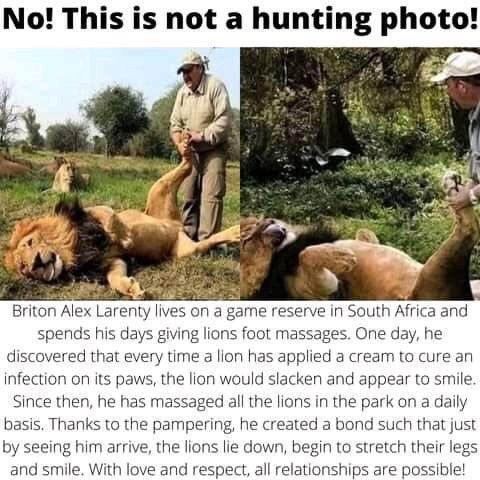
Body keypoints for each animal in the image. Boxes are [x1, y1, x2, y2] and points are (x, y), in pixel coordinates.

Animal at [4, 152, 240, 298]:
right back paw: (236, 232)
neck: (73, 251)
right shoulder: (112, 261)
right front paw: (132, 289)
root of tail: (177, 224)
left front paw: (123, 236)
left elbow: (110, 218)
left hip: (158, 187)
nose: (34, 263)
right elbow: (115, 279)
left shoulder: (91, 213)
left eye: (29, 243)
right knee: (207, 241)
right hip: (186, 251)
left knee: (186, 163)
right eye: (24, 268)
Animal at [242, 172, 480, 300]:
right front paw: (342, 257)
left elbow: (364, 234)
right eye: (249, 238)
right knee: (469, 228)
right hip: (433, 273)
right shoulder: (320, 289)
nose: (273, 224)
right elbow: (306, 254)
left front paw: (359, 239)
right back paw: (455, 191)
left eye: (265, 222)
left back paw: (453, 185)